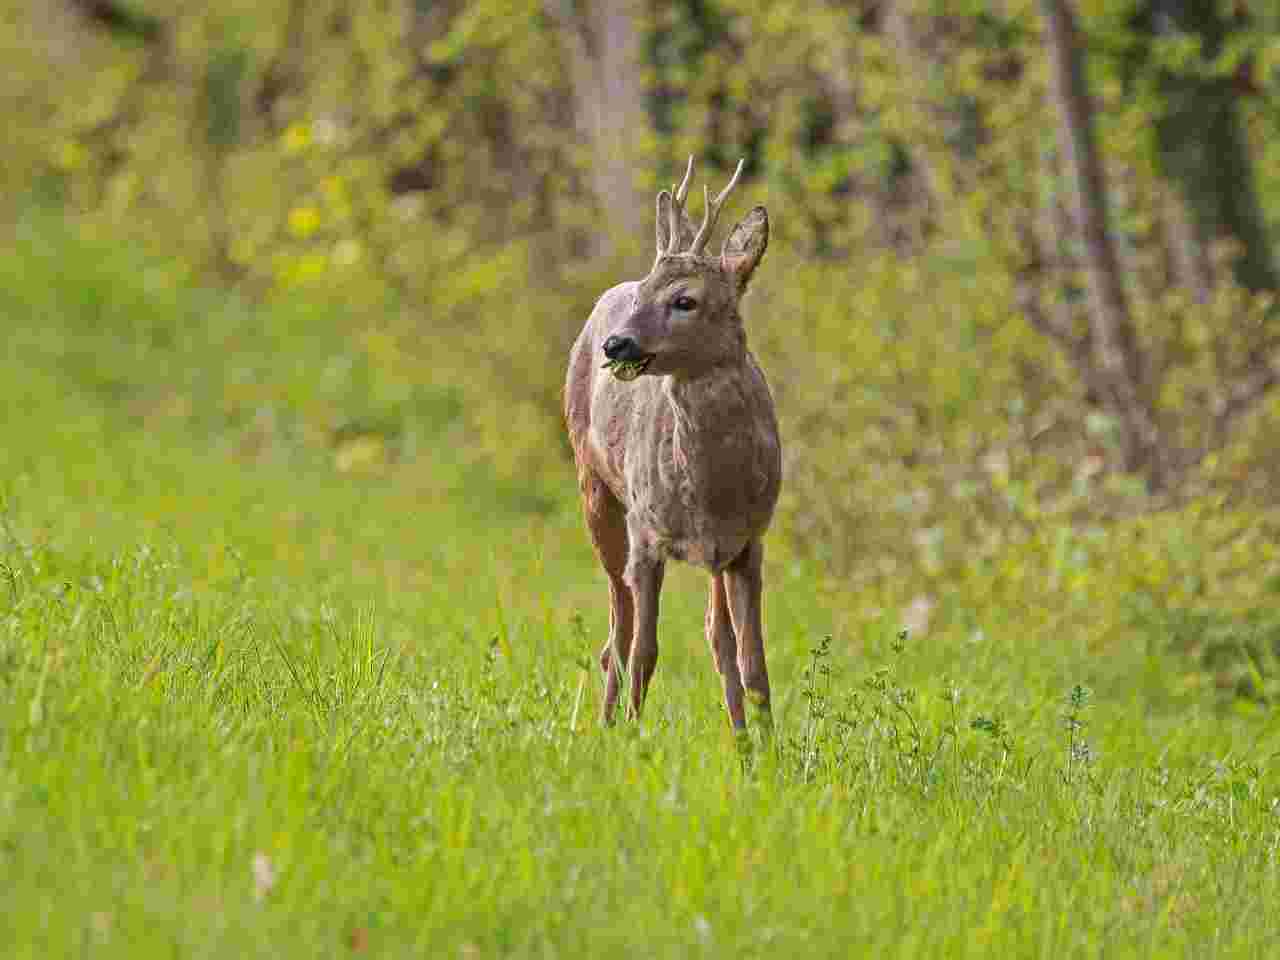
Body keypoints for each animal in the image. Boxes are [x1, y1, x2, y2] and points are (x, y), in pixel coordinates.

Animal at [568, 158, 783, 727]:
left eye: (686, 300)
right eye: (645, 294)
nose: (616, 344)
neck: (711, 493)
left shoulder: (747, 543)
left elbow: (752, 662)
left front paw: (763, 744)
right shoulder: (647, 534)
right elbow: (645, 650)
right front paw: (632, 734)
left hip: (713, 556)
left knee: (714, 634)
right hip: (594, 487)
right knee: (617, 633)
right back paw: (603, 724)